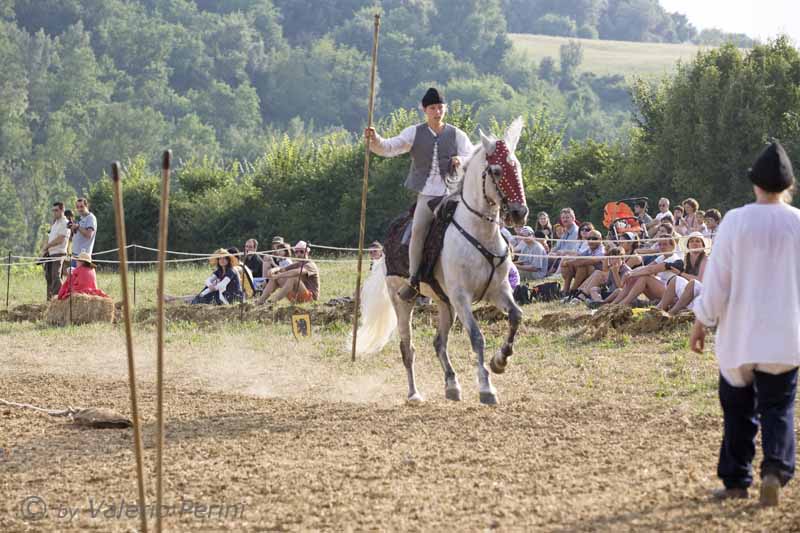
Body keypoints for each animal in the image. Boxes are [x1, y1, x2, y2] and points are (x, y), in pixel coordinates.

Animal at [356, 118, 532, 406]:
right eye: (496, 170)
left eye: (515, 166)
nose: (519, 213)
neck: (478, 232)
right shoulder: (461, 296)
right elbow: (477, 337)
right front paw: (486, 388)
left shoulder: (499, 290)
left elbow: (516, 316)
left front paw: (500, 361)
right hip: (402, 300)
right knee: (407, 347)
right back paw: (414, 394)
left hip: (444, 303)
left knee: (439, 342)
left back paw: (451, 385)